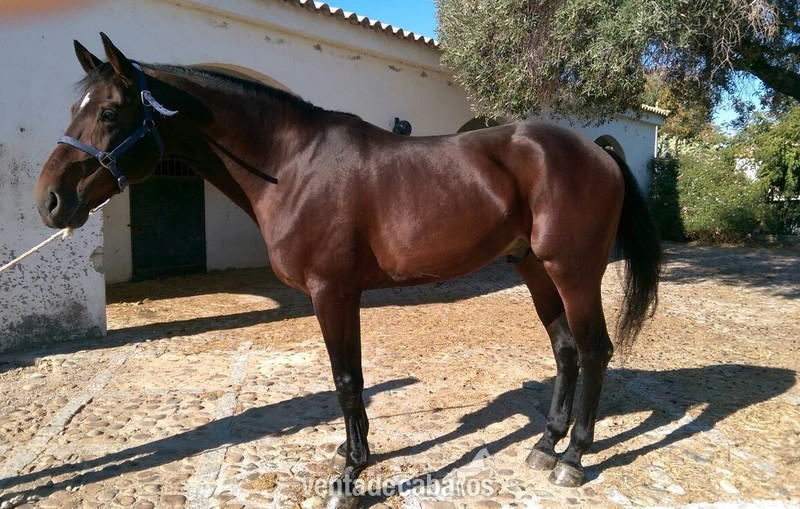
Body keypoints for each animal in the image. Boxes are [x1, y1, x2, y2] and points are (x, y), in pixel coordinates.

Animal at [35, 34, 662, 509]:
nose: (51, 202)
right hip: (534, 268)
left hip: (573, 272)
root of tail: (597, 149)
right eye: (73, 110)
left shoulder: (332, 292)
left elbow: (346, 381)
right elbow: (353, 381)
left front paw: (351, 477)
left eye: (110, 112)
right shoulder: (343, 294)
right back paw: (546, 444)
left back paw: (574, 457)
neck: (292, 166)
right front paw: (351, 455)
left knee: (594, 349)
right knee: (565, 349)